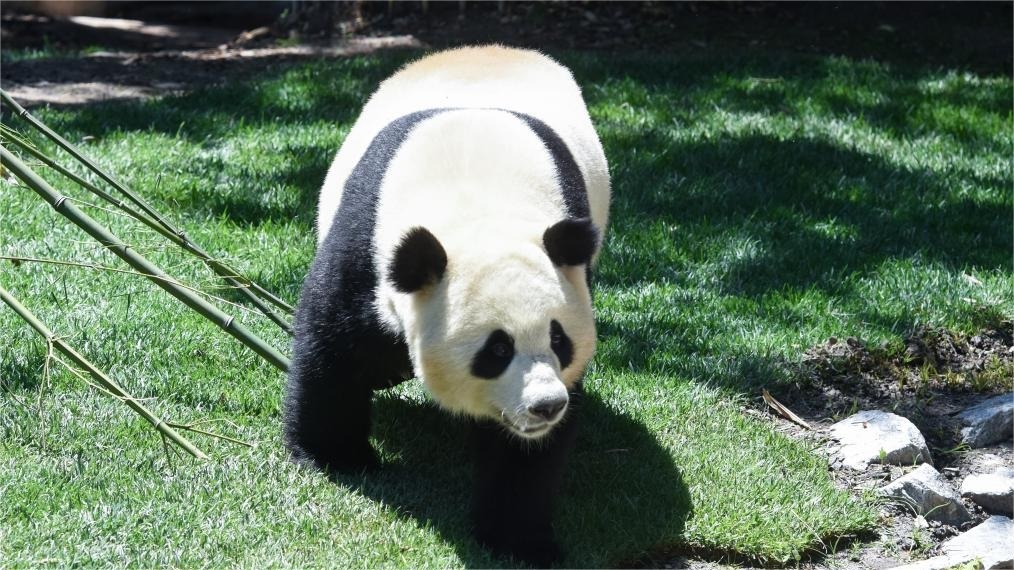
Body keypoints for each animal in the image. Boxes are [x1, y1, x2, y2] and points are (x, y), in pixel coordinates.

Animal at [283, 45, 608, 563]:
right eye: (497, 349)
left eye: (560, 341)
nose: (546, 406)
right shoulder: (365, 243)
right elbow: (334, 346)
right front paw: (334, 457)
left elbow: (520, 453)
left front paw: (519, 540)